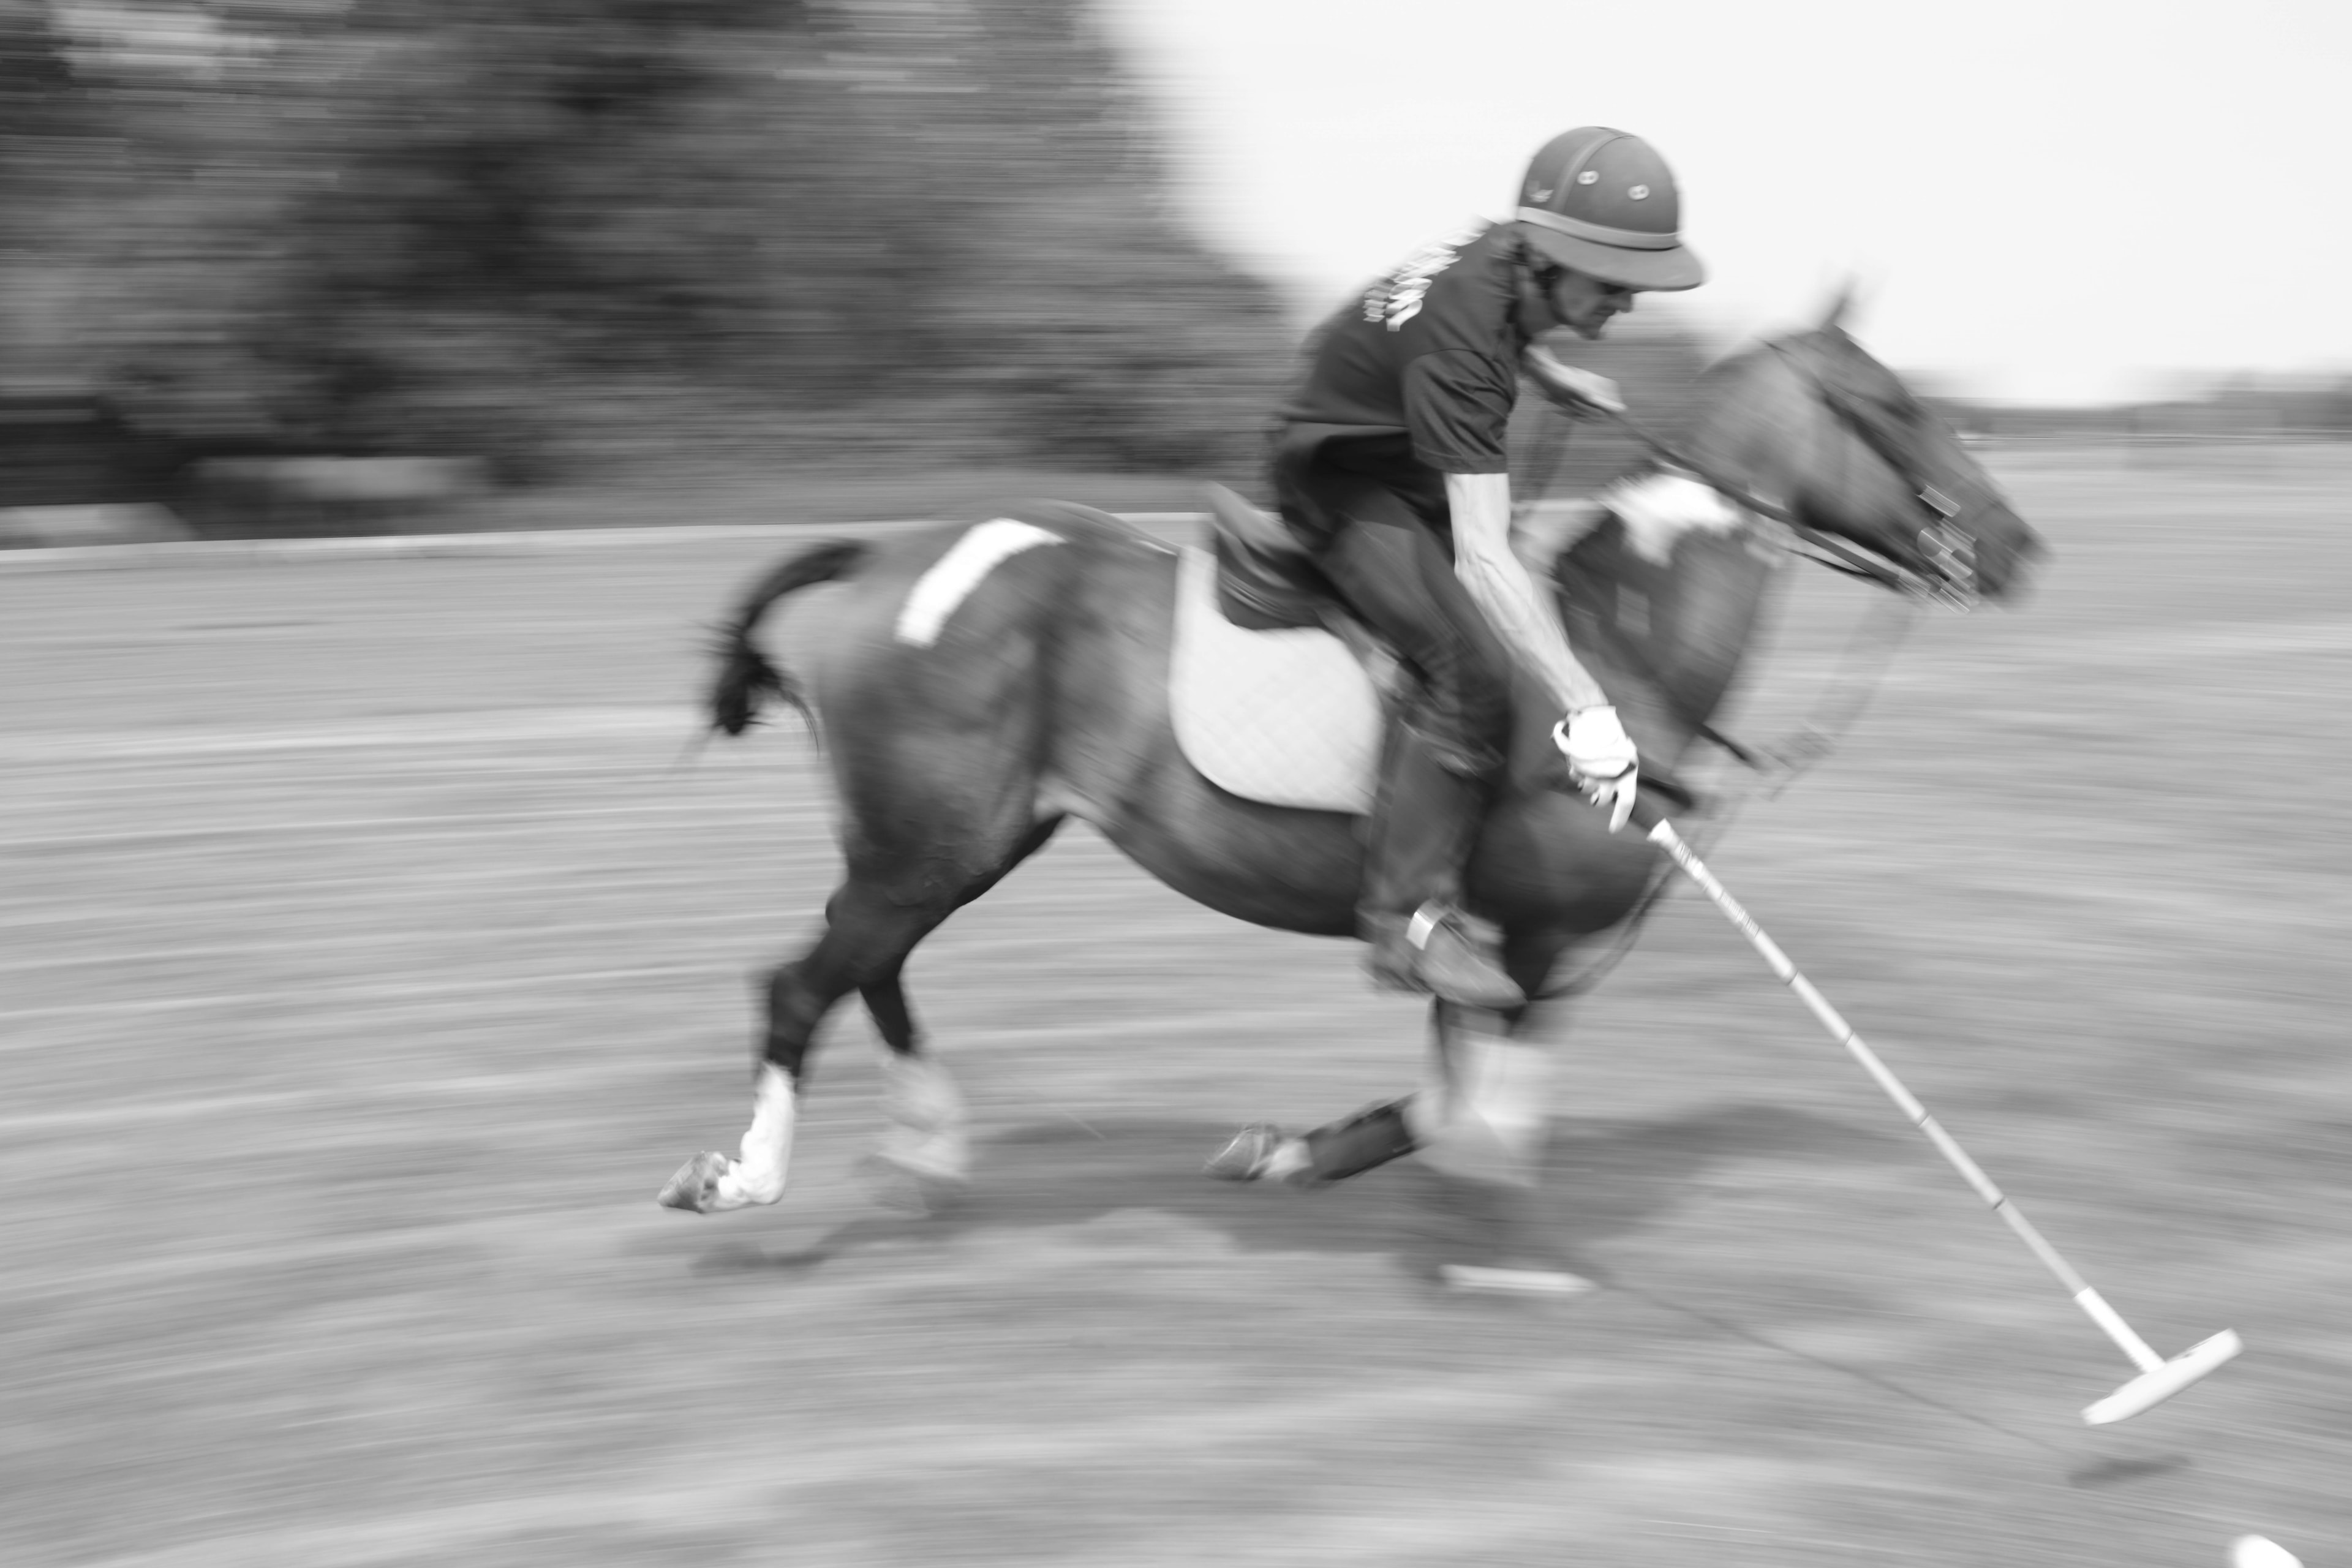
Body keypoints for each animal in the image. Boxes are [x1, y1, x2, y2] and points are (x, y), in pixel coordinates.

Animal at [654, 302, 2043, 1274]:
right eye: (1890, 403)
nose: (2019, 546)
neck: (1622, 647)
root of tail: (879, 561)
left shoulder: (1496, 956)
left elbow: (1439, 1102)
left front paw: (1288, 1152)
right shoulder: (1531, 942)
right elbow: (1473, 1116)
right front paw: (1494, 1257)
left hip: (956, 841)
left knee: (869, 966)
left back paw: (930, 1144)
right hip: (929, 842)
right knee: (802, 983)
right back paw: (742, 1180)